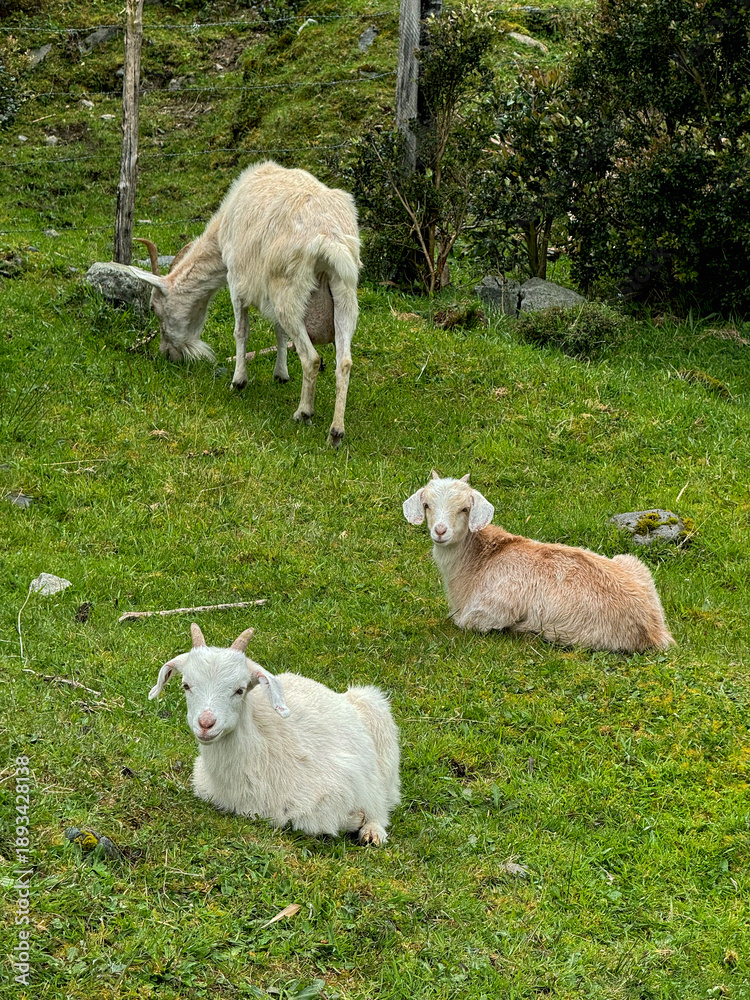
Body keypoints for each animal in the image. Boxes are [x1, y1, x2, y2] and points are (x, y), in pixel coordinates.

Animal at [129, 161, 361, 447]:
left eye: (153, 308)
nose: (167, 354)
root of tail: (330, 237)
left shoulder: (237, 278)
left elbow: (241, 331)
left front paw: (238, 380)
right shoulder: (267, 290)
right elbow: (279, 331)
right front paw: (281, 374)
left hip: (289, 291)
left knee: (312, 359)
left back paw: (304, 413)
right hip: (344, 293)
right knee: (344, 362)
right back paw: (336, 432)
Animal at [149, 624, 400, 844]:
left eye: (239, 690)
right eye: (186, 685)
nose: (206, 723)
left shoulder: (340, 783)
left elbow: (316, 820)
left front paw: (358, 820)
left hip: (378, 720)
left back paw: (373, 832)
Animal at [403, 472, 674, 653]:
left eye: (464, 509)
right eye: (426, 505)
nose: (440, 531)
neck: (481, 560)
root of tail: (655, 631)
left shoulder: (492, 608)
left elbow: (465, 623)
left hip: (572, 631)